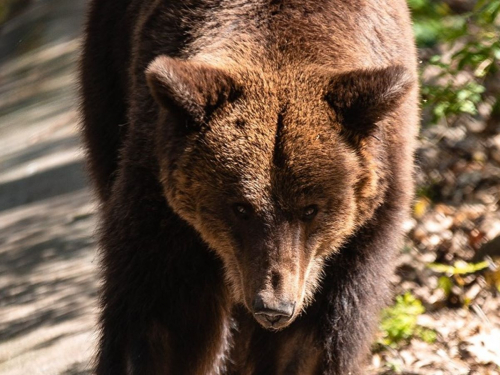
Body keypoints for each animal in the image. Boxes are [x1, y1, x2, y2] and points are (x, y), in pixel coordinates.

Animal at [80, 0, 420, 374]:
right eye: (240, 207)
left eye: (311, 209)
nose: (273, 307)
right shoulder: (162, 203)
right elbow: (162, 320)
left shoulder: (361, 231)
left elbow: (311, 340)